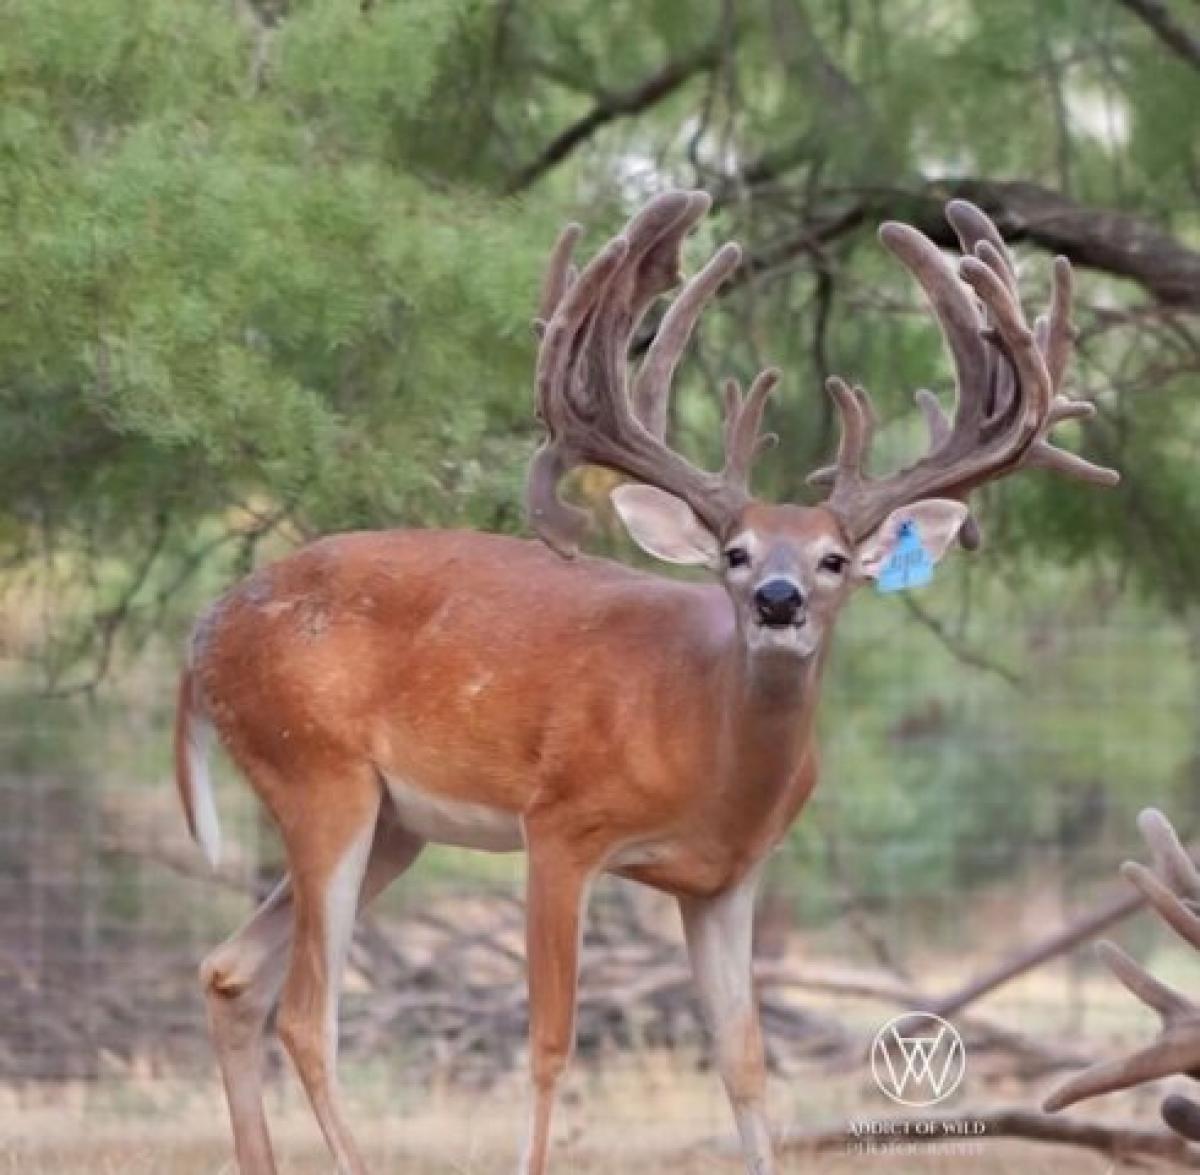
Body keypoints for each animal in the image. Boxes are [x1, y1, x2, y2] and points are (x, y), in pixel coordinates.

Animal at [175, 188, 1113, 1171]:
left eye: (834, 559)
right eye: (736, 552)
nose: (778, 600)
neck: (701, 739)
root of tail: (204, 634)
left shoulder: (727, 879)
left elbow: (745, 1062)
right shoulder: (559, 824)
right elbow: (551, 1042)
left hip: (393, 821)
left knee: (232, 973)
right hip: (318, 771)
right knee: (306, 1014)